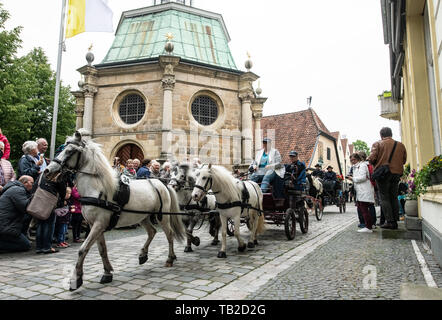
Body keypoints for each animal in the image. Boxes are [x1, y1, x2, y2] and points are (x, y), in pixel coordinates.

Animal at [46, 131, 186, 292]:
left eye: (70, 151)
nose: (48, 170)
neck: (97, 189)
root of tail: (161, 183)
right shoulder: (95, 225)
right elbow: (102, 250)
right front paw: (107, 273)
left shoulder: (98, 224)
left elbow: (83, 249)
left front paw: (76, 279)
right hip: (142, 217)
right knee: (152, 232)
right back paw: (143, 255)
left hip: (162, 216)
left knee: (169, 234)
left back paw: (170, 258)